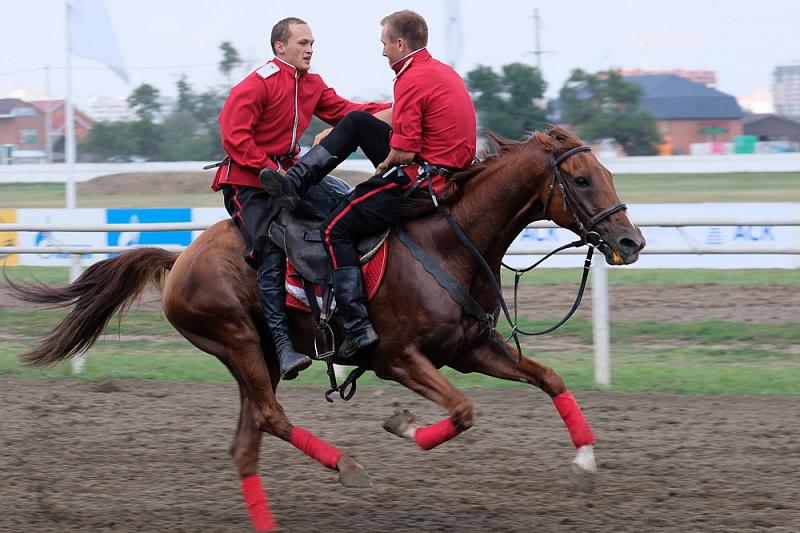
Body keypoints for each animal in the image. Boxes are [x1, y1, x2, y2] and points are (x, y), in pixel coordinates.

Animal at [12, 127, 648, 528]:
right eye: (582, 181)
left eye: (607, 172)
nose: (631, 241)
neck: (449, 241)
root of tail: (181, 257)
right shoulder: (397, 358)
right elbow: (462, 411)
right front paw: (402, 424)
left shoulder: (471, 349)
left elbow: (549, 377)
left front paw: (585, 461)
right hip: (240, 343)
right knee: (270, 418)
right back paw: (347, 464)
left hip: (261, 356)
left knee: (247, 442)